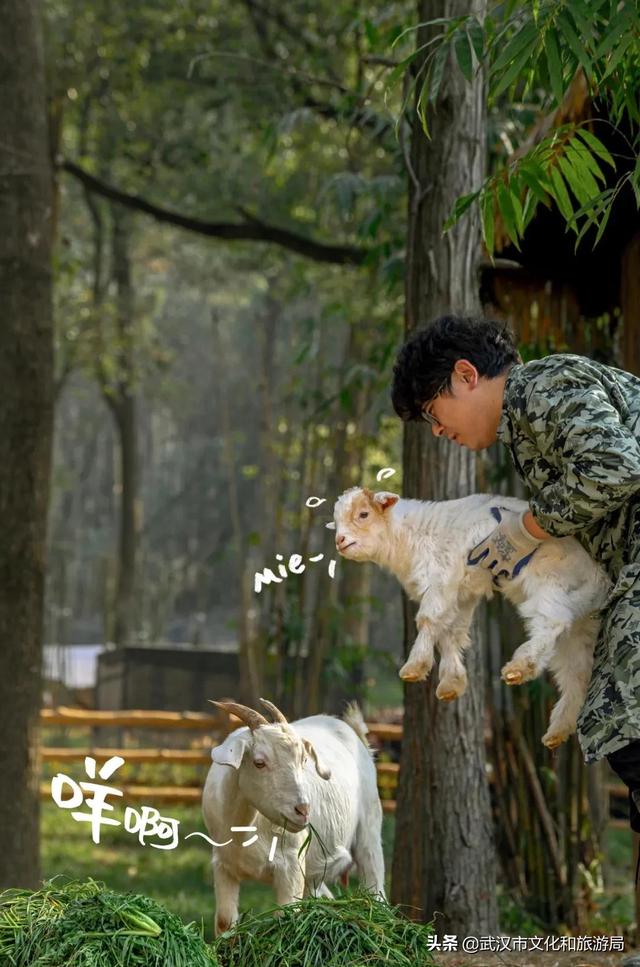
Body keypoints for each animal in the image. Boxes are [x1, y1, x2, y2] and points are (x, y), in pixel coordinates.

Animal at [204, 696, 384, 936]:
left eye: (303, 760)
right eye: (259, 762)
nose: (303, 810)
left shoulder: (291, 865)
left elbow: (286, 916)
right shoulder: (224, 865)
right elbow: (224, 922)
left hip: (369, 828)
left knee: (375, 884)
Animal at [330, 488, 608, 752]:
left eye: (363, 514)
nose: (339, 540)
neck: (410, 534)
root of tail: (599, 578)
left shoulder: (441, 578)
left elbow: (429, 619)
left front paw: (415, 666)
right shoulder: (462, 593)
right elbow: (450, 632)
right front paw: (451, 682)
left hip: (550, 584)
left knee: (553, 622)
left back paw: (519, 667)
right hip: (580, 622)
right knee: (576, 672)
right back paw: (557, 730)